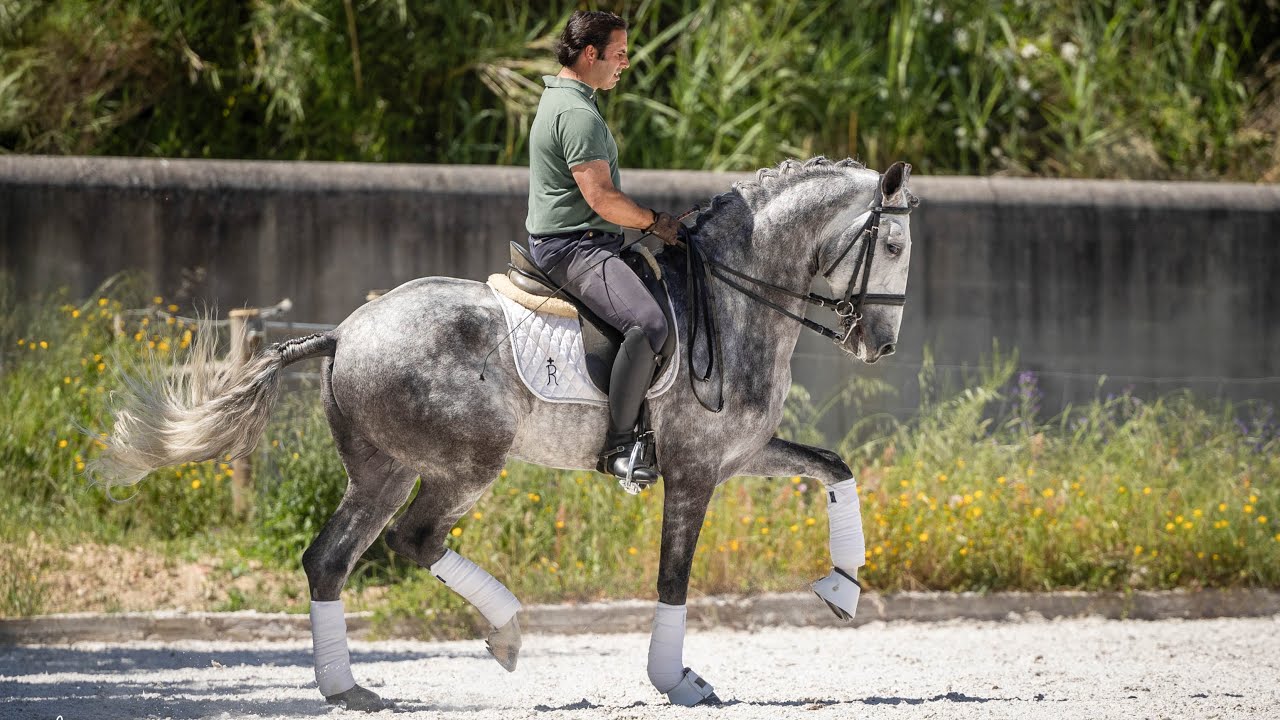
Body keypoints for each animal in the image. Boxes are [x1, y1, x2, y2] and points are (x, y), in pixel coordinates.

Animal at [91, 156, 917, 710]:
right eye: (895, 247)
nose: (881, 345)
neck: (732, 299)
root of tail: (344, 332)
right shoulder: (694, 470)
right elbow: (673, 578)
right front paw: (675, 679)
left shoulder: (738, 456)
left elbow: (835, 465)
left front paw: (842, 587)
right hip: (466, 465)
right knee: (415, 540)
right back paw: (508, 632)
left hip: (383, 471)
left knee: (329, 559)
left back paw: (350, 688)